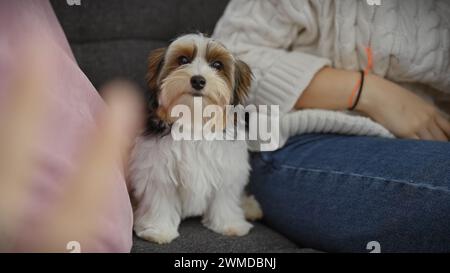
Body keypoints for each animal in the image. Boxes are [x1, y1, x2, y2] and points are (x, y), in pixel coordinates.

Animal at [128, 33, 262, 243]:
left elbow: (224, 198)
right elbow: (160, 199)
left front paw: (229, 224)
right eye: (183, 60)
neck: (195, 121)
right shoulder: (158, 170)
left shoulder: (226, 170)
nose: (198, 80)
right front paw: (158, 230)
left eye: (217, 65)